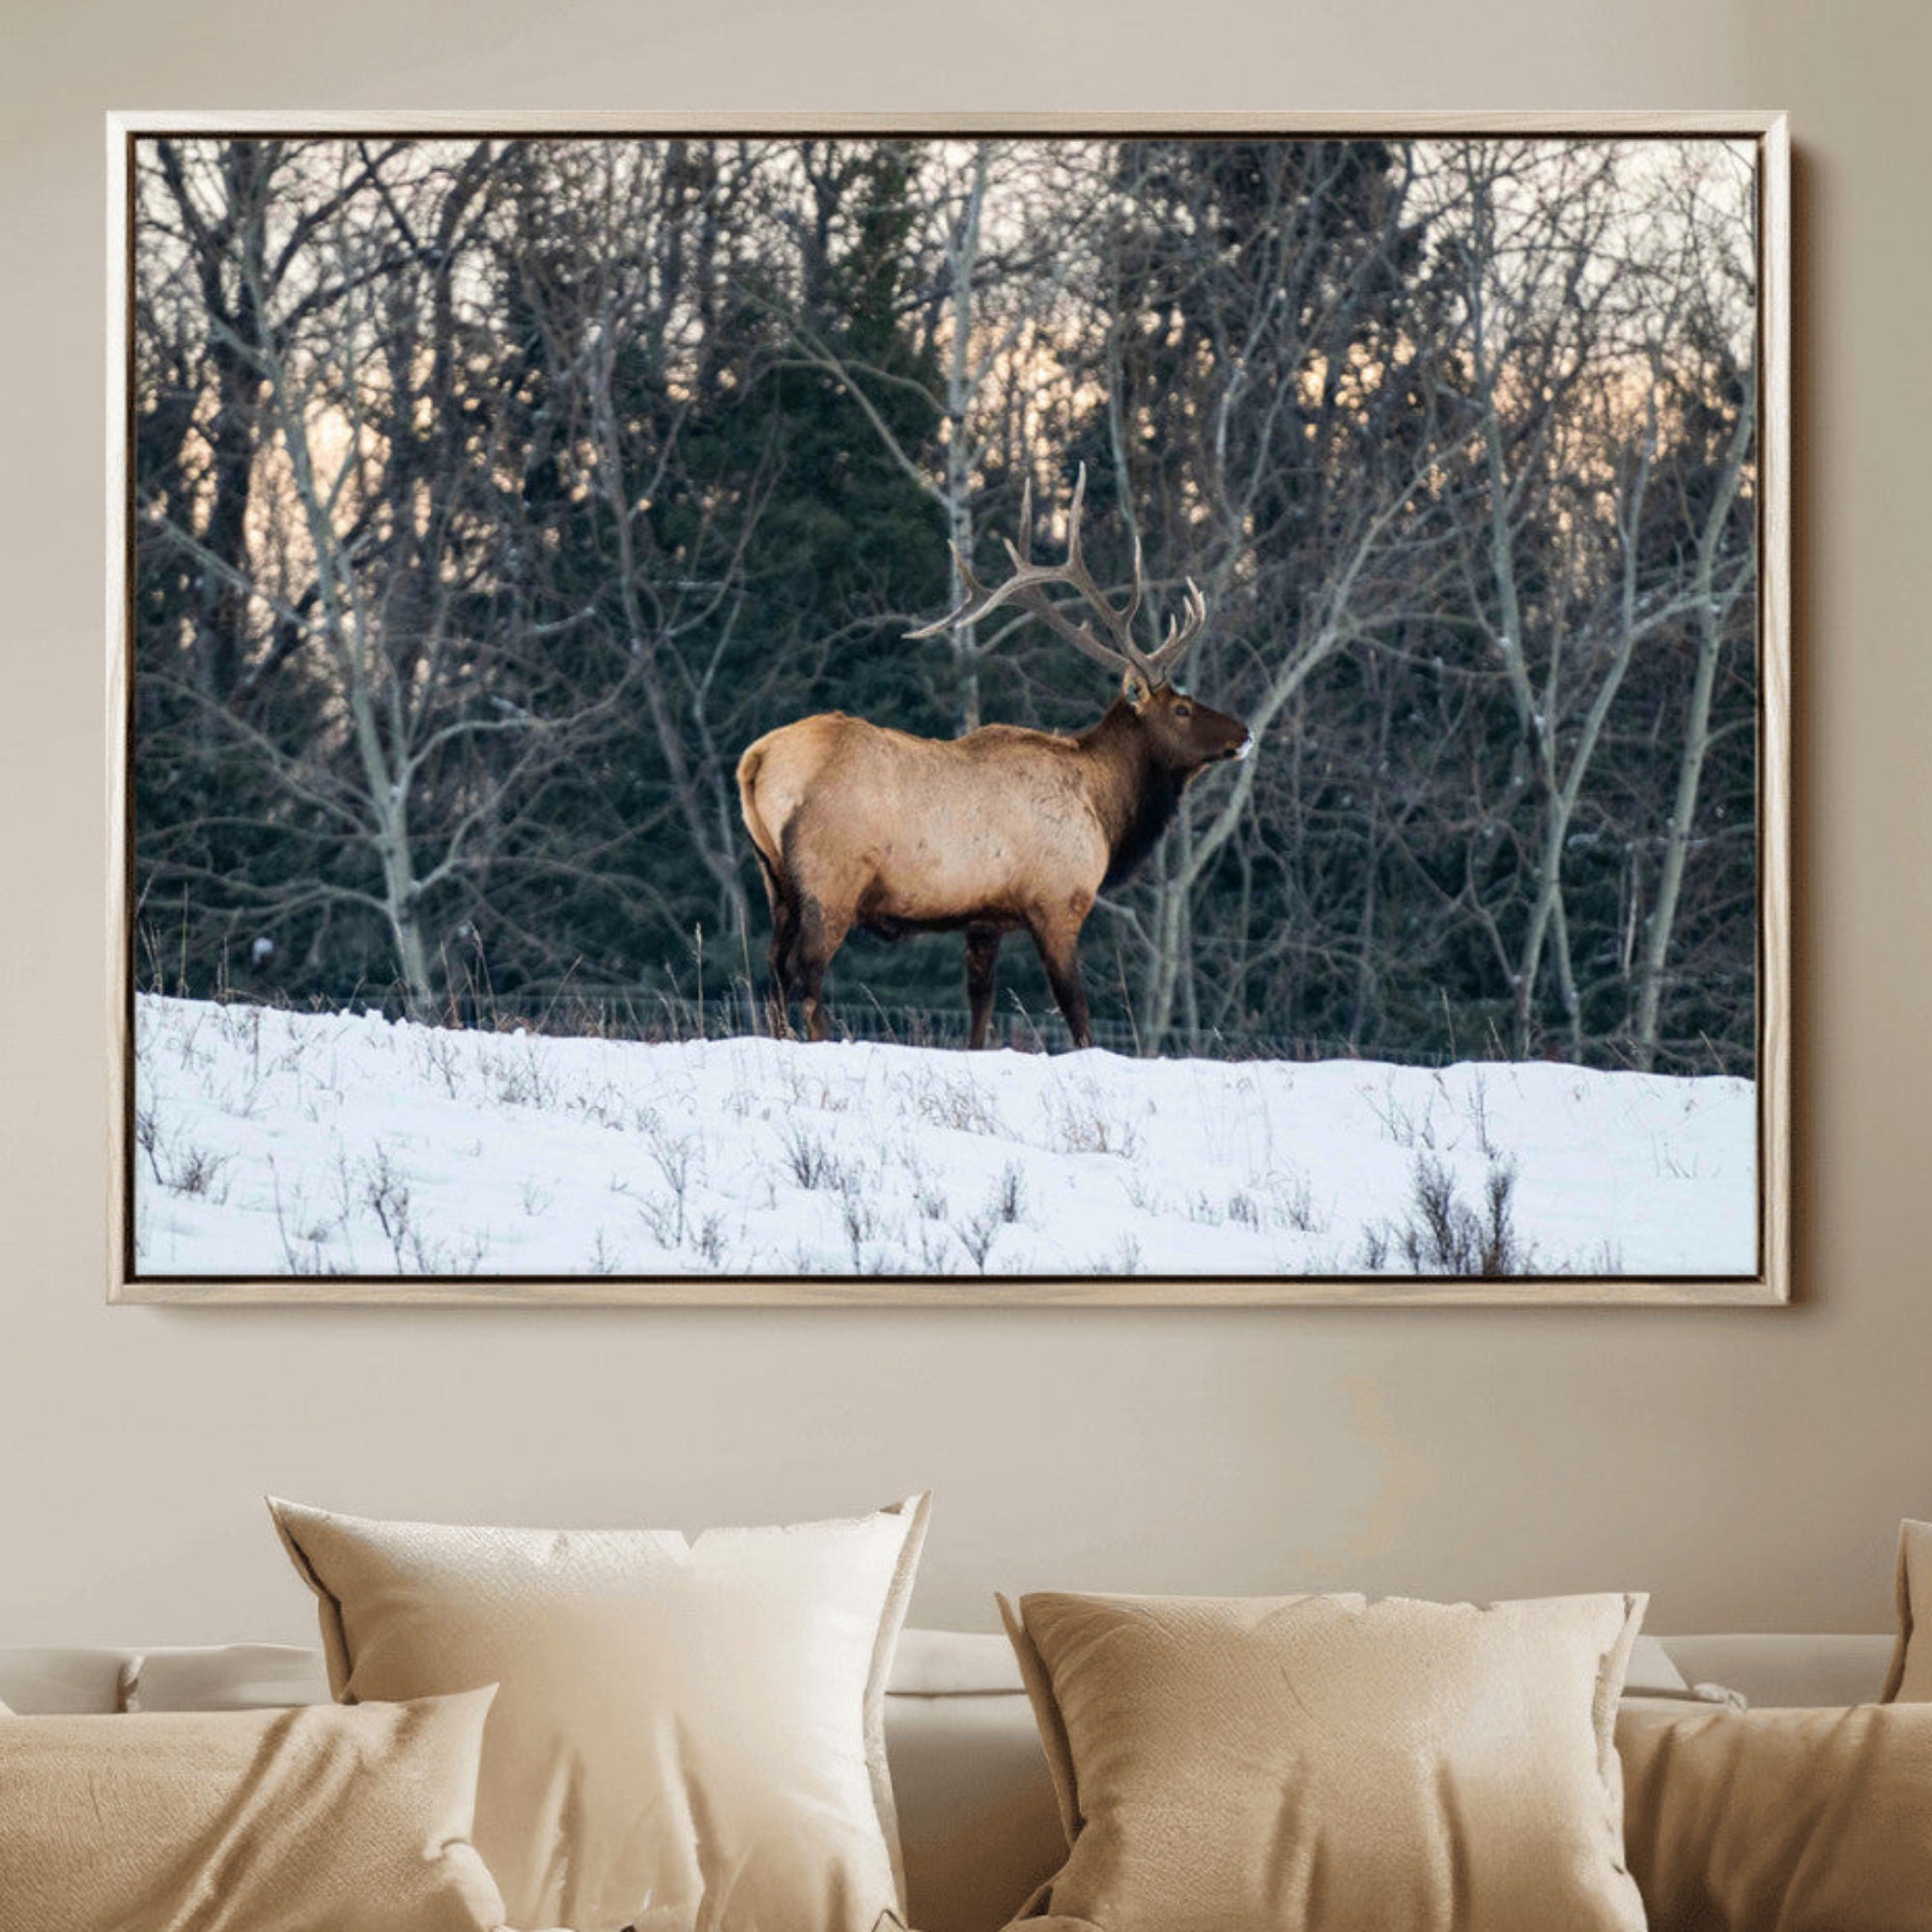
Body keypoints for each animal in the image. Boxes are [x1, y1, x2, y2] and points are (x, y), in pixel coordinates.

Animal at [736, 469, 1253, 1050]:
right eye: (1182, 708)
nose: (1245, 732)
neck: (1104, 808)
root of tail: (755, 761)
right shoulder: (1056, 898)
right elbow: (1076, 1010)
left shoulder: (984, 918)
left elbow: (980, 1008)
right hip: (830, 878)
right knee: (806, 974)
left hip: (775, 881)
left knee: (772, 973)